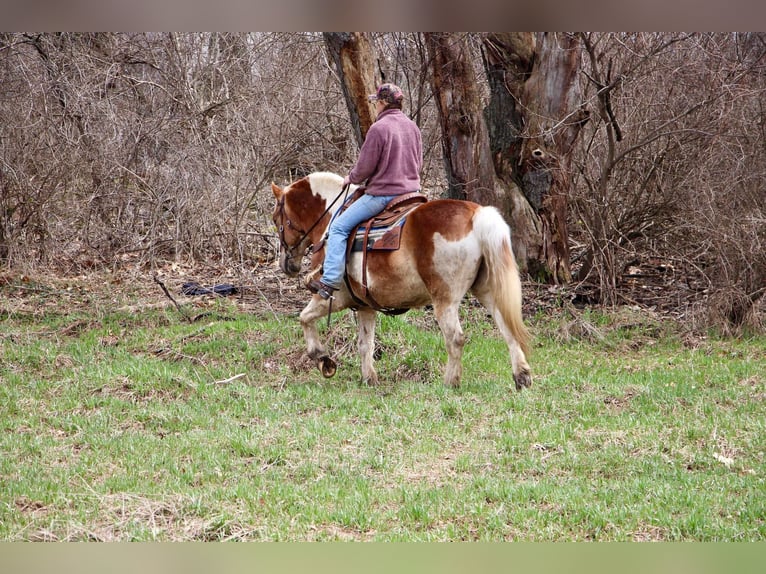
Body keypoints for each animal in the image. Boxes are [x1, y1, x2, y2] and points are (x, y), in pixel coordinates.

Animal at [272, 171, 536, 392]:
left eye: (276, 220)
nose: (286, 264)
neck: (332, 219)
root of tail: (476, 215)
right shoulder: (365, 307)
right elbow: (365, 343)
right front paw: (369, 379)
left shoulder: (333, 298)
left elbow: (304, 318)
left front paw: (322, 359)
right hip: (488, 291)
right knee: (507, 328)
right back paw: (521, 376)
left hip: (445, 300)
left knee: (455, 339)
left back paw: (450, 382)